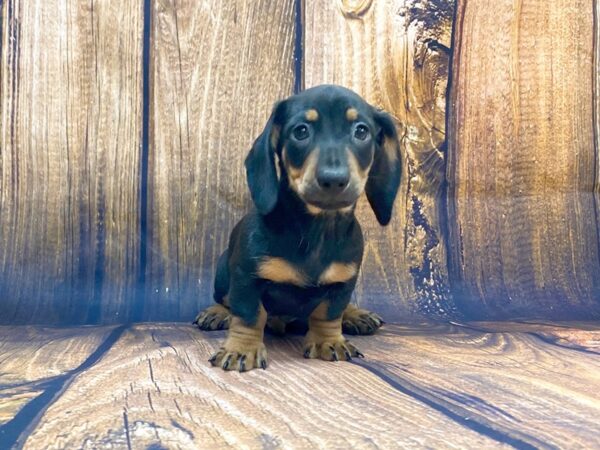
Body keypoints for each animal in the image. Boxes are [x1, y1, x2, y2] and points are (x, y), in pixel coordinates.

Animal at [195, 85, 400, 372]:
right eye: (301, 131)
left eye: (361, 131)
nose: (334, 179)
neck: (315, 231)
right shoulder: (246, 277)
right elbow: (249, 315)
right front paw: (241, 349)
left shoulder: (343, 282)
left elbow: (329, 313)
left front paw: (329, 341)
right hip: (224, 270)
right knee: (226, 299)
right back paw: (217, 312)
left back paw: (355, 314)